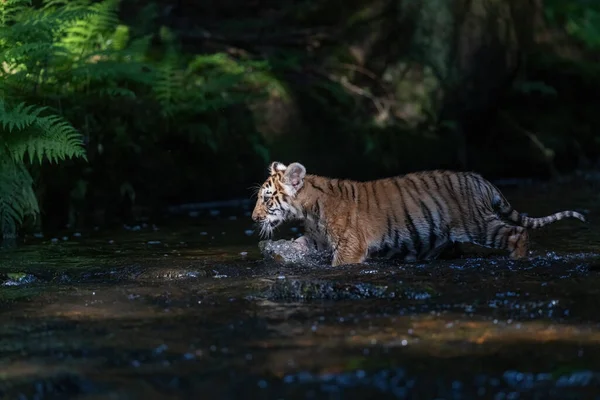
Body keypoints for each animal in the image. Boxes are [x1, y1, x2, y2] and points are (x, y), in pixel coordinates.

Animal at [251, 161, 588, 268]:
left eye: (267, 199)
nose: (253, 218)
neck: (308, 210)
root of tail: (479, 178)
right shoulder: (317, 239)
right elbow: (298, 246)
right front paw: (278, 253)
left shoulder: (349, 246)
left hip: (479, 224)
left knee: (518, 233)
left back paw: (518, 260)